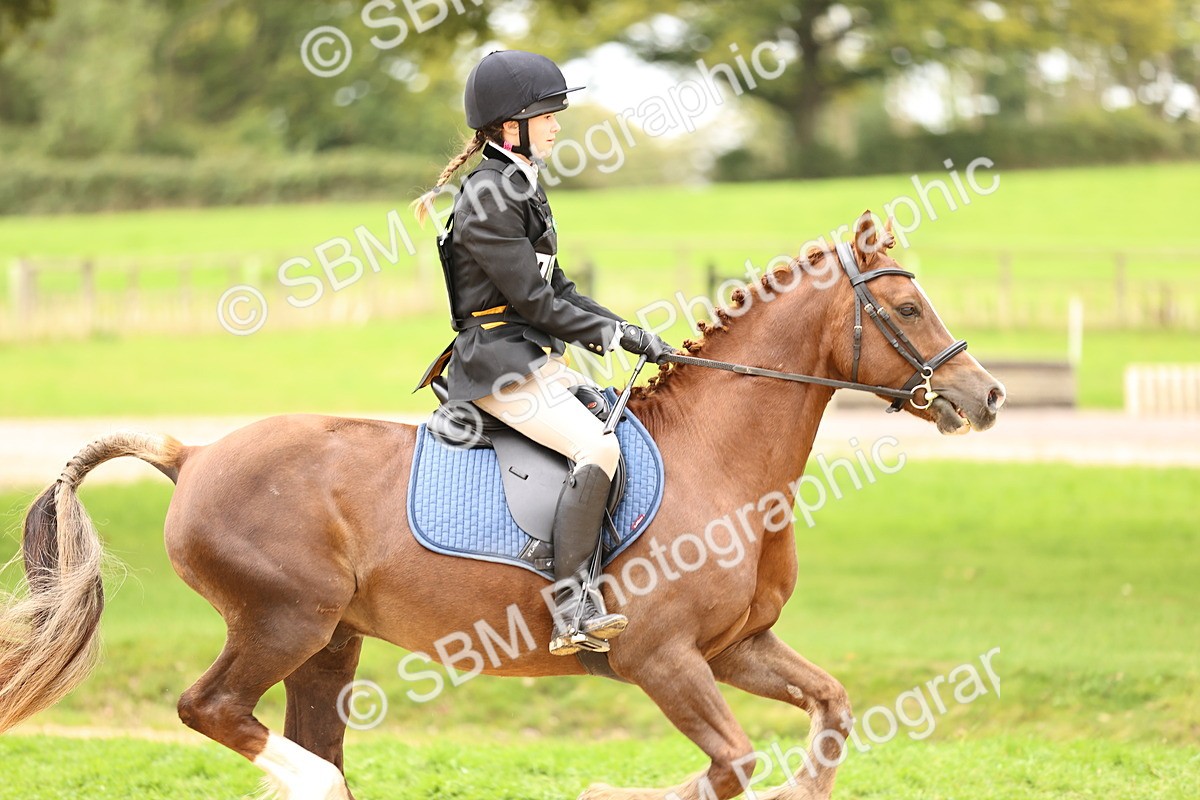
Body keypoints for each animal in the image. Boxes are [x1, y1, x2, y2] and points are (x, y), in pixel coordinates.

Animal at [0, 211, 1005, 800]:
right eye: (907, 310)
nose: (986, 397)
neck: (720, 460)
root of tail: (193, 454)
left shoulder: (737, 648)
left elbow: (828, 712)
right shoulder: (662, 658)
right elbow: (731, 765)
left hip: (329, 646)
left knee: (295, 734)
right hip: (283, 620)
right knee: (214, 711)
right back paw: (315, 780)